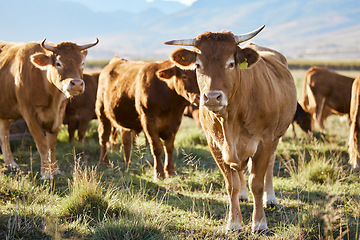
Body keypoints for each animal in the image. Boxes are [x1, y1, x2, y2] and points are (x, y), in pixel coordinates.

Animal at [0, 39, 98, 178]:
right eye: (58, 63)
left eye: (82, 63)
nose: (77, 84)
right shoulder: (29, 114)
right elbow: (42, 143)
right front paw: (46, 173)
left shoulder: (59, 115)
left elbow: (52, 145)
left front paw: (55, 169)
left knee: (4, 135)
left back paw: (11, 164)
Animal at [165, 25, 296, 232]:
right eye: (198, 65)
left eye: (231, 64)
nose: (212, 97)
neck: (231, 120)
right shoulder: (215, 145)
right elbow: (231, 185)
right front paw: (234, 222)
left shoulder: (264, 142)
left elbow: (256, 183)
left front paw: (259, 223)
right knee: (239, 171)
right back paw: (242, 195)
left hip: (276, 137)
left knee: (269, 165)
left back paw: (270, 198)